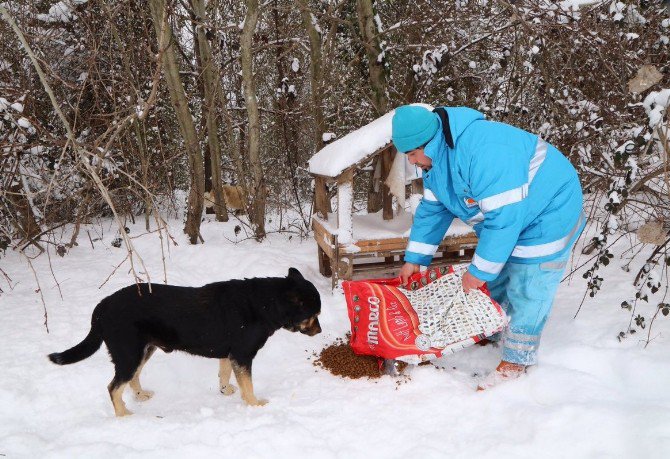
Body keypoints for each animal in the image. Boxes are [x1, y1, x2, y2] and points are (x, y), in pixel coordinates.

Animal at [48, 268, 322, 418]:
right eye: (314, 314)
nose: (320, 331)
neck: (266, 303)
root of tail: (102, 306)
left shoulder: (229, 354)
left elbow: (224, 375)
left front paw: (225, 391)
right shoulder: (243, 355)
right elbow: (248, 386)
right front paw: (254, 405)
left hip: (143, 351)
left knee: (131, 379)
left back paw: (140, 396)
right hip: (129, 354)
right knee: (113, 387)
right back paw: (123, 415)